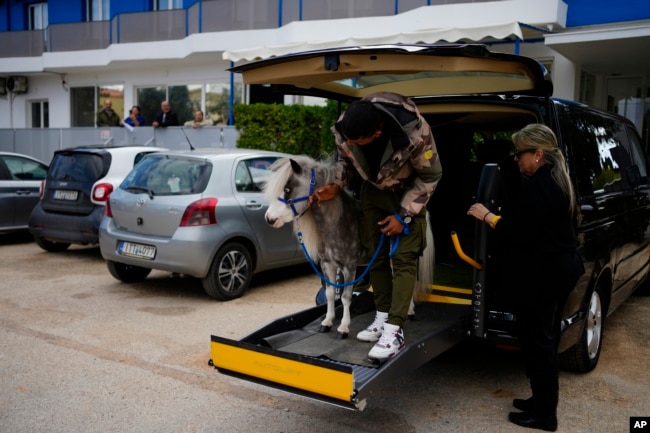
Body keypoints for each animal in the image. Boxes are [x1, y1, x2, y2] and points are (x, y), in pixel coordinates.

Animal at [264, 154, 364, 338]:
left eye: (287, 189)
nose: (269, 218)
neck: (340, 222)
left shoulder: (350, 266)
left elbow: (346, 297)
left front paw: (343, 327)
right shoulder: (327, 265)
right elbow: (330, 293)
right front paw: (327, 322)